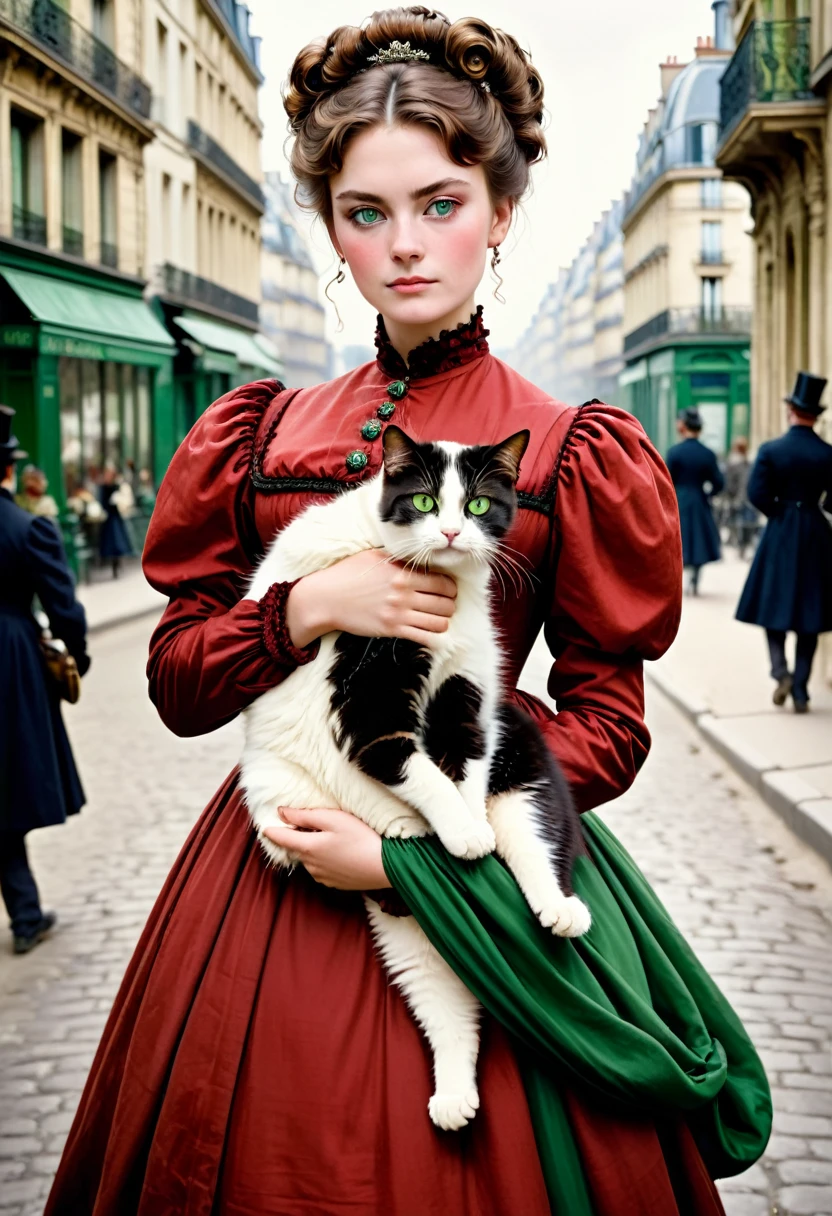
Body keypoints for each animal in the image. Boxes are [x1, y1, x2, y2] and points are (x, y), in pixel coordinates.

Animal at [238, 425, 591, 1128]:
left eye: (478, 505)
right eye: (424, 501)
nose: (452, 532)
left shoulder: (471, 695)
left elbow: (467, 767)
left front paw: (470, 828)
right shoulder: (365, 700)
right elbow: (416, 770)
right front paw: (460, 833)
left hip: (523, 760)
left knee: (531, 842)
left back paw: (556, 908)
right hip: (284, 800)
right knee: (441, 993)